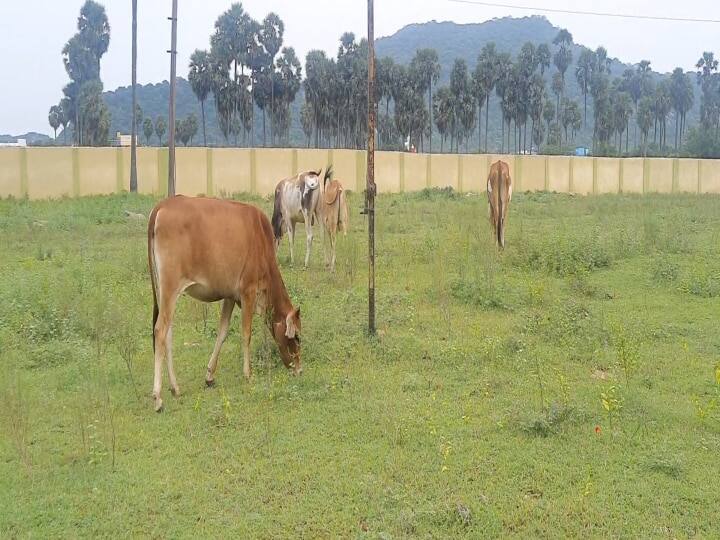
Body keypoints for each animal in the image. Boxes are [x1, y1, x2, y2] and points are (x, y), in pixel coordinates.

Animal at [148, 196, 302, 412]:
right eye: (296, 337)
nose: (300, 370)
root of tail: (163, 204)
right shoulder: (248, 292)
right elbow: (246, 334)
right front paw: (247, 374)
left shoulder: (230, 296)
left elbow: (222, 332)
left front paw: (210, 376)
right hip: (170, 287)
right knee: (160, 331)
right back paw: (158, 398)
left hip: (165, 292)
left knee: (167, 335)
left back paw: (175, 388)